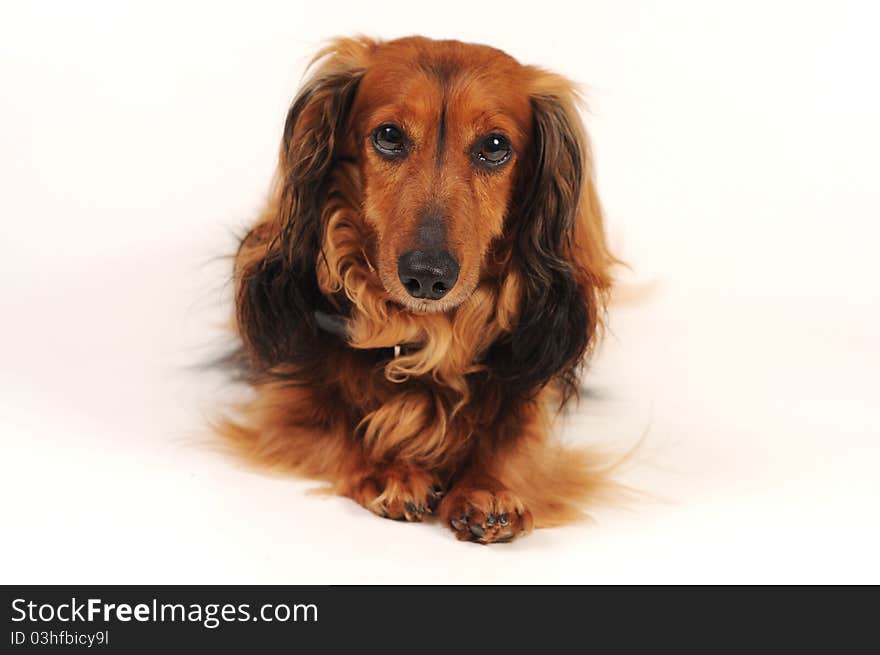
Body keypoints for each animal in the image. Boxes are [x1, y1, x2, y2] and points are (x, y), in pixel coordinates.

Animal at [219, 36, 616, 544]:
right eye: (389, 135)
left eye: (495, 146)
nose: (427, 277)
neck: (427, 333)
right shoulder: (285, 405)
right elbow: (336, 428)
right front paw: (390, 469)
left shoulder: (528, 398)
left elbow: (514, 443)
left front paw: (488, 488)